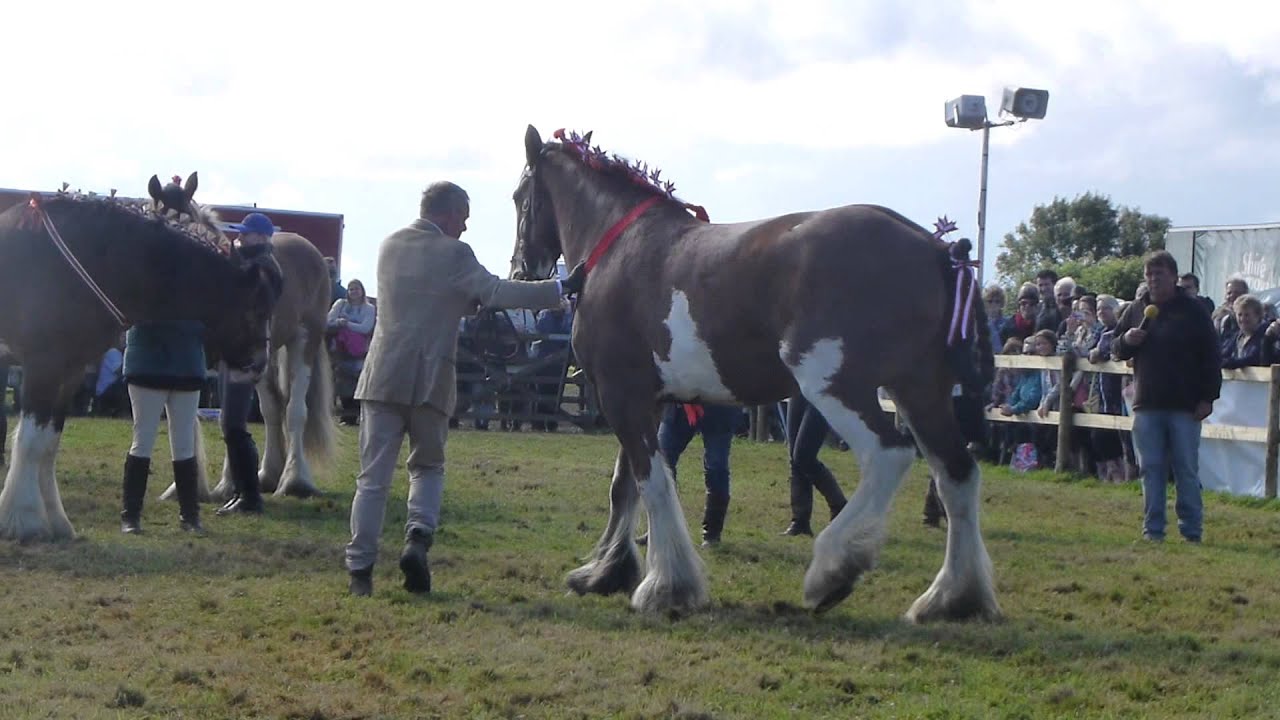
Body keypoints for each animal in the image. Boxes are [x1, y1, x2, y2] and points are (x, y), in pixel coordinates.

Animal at [0, 172, 281, 538]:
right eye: (255, 309)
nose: (258, 364)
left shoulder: (70, 369)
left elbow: (49, 442)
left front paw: (57, 522)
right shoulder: (42, 365)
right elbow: (32, 441)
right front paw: (25, 520)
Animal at [512, 126, 998, 620]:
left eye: (519, 197)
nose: (521, 267)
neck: (618, 247)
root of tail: (935, 247)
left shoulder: (621, 395)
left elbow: (652, 482)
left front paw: (665, 585)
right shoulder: (645, 400)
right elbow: (624, 487)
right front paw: (604, 573)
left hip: (837, 388)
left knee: (890, 455)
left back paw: (833, 571)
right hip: (920, 390)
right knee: (956, 473)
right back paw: (951, 597)